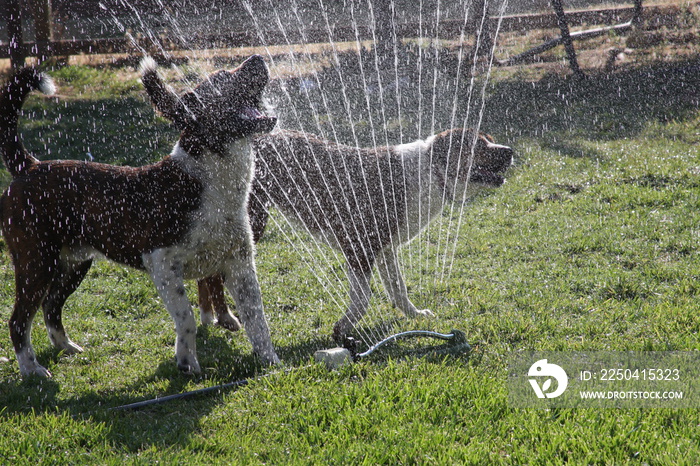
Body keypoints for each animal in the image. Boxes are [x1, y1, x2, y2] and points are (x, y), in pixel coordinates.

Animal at [2, 55, 282, 378]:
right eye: (221, 77)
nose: (258, 58)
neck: (207, 178)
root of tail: (29, 166)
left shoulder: (240, 263)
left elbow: (257, 319)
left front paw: (271, 362)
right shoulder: (161, 263)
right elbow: (186, 317)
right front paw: (187, 362)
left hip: (73, 264)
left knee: (51, 306)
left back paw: (66, 347)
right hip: (36, 263)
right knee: (19, 320)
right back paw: (31, 369)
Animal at [191, 124, 516, 342]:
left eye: (490, 141)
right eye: (478, 147)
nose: (511, 151)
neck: (428, 172)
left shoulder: (386, 250)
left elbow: (398, 290)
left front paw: (415, 316)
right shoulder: (358, 248)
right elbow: (363, 299)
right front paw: (343, 329)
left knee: (205, 273)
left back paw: (209, 317)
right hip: (251, 221)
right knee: (213, 273)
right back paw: (225, 318)